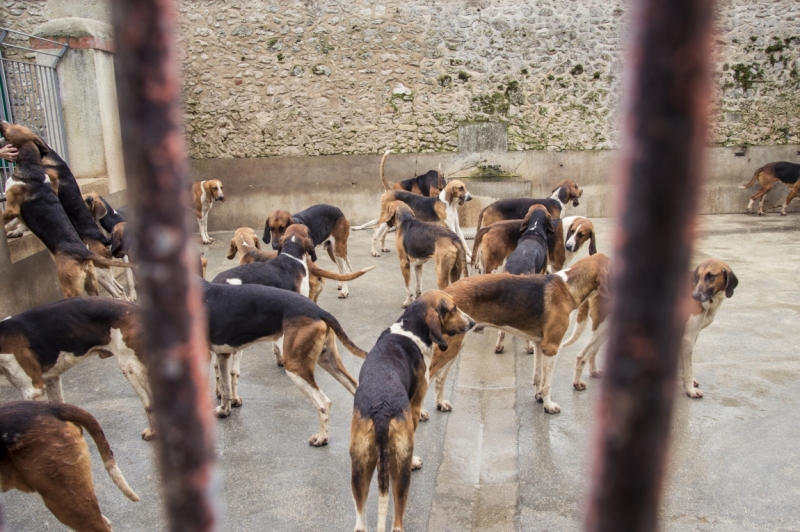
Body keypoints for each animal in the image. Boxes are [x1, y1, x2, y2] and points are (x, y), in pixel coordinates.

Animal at [0, 296, 157, 440]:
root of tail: (138, 309)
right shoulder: (51, 379)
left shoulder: (33, 391)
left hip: (132, 369)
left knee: (149, 403)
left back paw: (152, 432)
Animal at [205, 280, 370, 446]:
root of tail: (318, 310)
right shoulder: (223, 354)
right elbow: (225, 388)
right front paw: (224, 410)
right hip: (326, 360)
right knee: (354, 387)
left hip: (294, 367)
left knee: (324, 403)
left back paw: (322, 438)